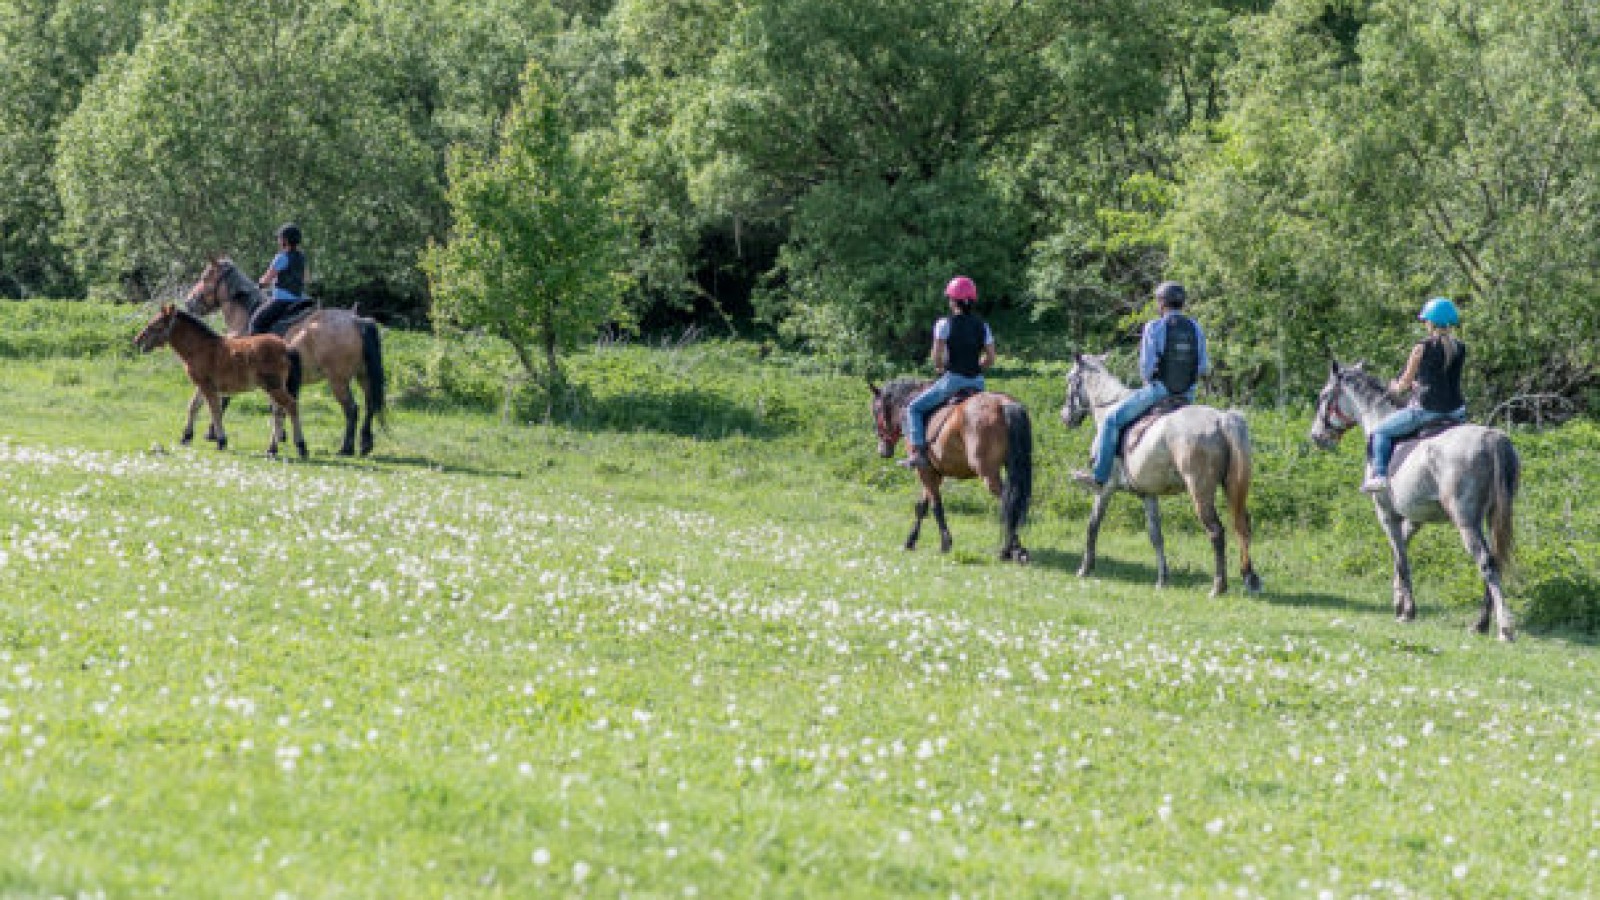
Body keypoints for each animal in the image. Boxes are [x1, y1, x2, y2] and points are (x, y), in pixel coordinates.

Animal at [134, 302, 305, 458]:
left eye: (154, 325)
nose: (137, 340)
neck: (200, 347)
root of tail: (286, 347)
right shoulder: (202, 385)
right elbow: (193, 407)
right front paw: (186, 437)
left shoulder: (207, 386)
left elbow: (214, 410)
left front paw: (221, 441)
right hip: (273, 388)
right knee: (279, 413)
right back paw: (271, 450)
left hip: (274, 387)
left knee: (291, 406)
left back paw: (301, 447)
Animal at [184, 257, 387, 454]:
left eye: (205, 277)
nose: (189, 301)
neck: (244, 318)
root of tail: (356, 321)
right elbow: (276, 407)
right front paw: (281, 436)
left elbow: (215, 401)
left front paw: (207, 433)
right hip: (363, 375)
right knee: (370, 405)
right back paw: (365, 443)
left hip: (338, 381)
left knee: (352, 409)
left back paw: (346, 448)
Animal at [870, 377, 1030, 560]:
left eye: (876, 410)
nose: (882, 451)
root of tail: (1004, 404)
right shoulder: (932, 472)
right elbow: (922, 507)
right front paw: (910, 540)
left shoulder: (924, 471)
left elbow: (936, 507)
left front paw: (945, 543)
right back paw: (1016, 549)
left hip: (987, 473)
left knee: (1008, 503)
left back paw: (1008, 549)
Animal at [1062, 352, 1260, 595]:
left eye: (1070, 378)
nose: (1065, 416)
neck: (1108, 407)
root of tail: (1222, 419)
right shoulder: (1148, 494)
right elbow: (1156, 535)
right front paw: (1162, 579)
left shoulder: (1106, 487)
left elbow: (1093, 525)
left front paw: (1085, 569)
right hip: (1232, 487)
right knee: (1243, 526)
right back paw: (1249, 578)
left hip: (1200, 490)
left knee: (1216, 531)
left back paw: (1218, 586)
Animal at [1305, 357, 1516, 637]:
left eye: (1323, 395)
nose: (1317, 436)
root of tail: (1491, 438)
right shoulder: (1415, 518)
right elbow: (1399, 552)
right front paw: (1399, 601)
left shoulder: (1386, 513)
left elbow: (1401, 557)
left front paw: (1406, 611)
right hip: (1489, 519)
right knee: (1494, 561)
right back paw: (1480, 623)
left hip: (1466, 522)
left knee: (1486, 562)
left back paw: (1503, 628)